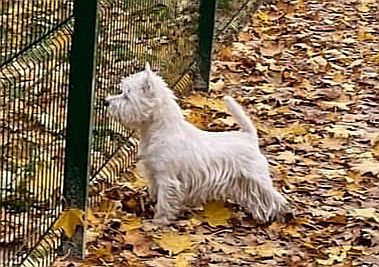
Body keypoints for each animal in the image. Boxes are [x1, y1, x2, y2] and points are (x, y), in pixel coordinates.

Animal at [105, 62, 290, 226]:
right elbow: (156, 192)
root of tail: (249, 137)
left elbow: (165, 201)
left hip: (255, 175)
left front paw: (159, 221)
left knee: (272, 196)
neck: (156, 131)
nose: (106, 102)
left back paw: (280, 215)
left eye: (127, 95)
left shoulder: (168, 178)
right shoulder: (153, 172)